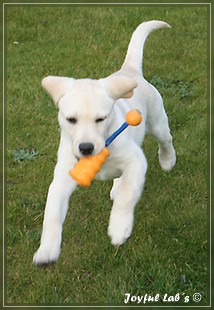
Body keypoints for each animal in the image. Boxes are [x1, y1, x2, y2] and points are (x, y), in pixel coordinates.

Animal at [33, 20, 176, 266]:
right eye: (71, 119)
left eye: (101, 119)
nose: (86, 148)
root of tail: (129, 71)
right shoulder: (62, 177)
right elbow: (51, 214)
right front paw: (47, 250)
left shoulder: (136, 161)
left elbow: (128, 195)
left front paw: (119, 227)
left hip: (157, 121)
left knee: (166, 140)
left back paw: (168, 160)